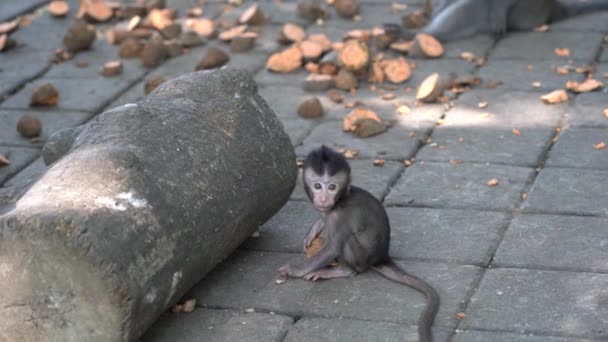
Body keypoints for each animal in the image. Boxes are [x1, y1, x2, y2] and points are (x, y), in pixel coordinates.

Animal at [278, 145, 440, 342]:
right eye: (317, 186)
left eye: (331, 187)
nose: (323, 199)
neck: (341, 199)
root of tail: (381, 257)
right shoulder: (328, 211)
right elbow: (323, 219)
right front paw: (313, 231)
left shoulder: (339, 217)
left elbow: (332, 247)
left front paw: (294, 270)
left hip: (361, 258)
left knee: (346, 244)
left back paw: (343, 271)